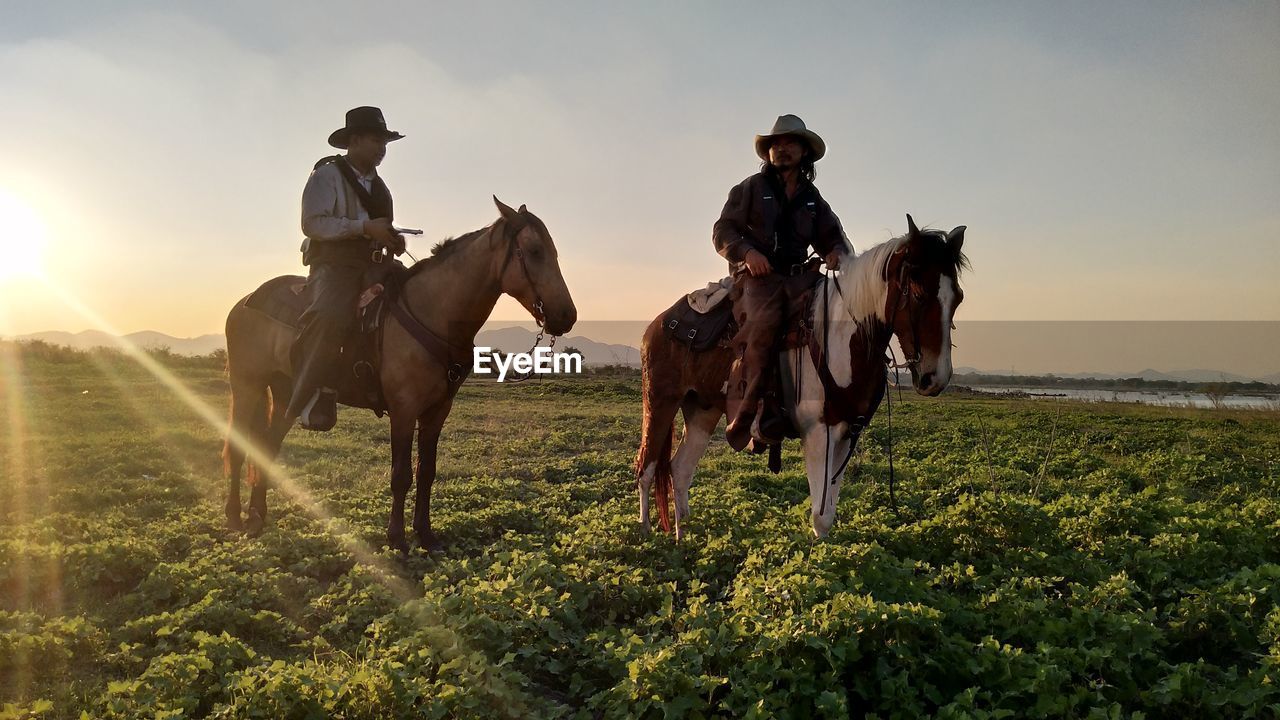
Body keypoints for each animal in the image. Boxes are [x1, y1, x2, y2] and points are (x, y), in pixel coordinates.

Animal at [224, 196, 576, 548]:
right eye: (534, 251)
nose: (566, 315)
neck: (432, 312)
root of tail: (244, 302)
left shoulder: (437, 411)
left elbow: (426, 471)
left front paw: (425, 533)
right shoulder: (404, 409)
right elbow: (401, 475)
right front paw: (396, 538)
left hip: (286, 391)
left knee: (267, 446)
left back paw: (257, 515)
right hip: (246, 385)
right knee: (238, 447)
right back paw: (234, 517)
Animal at [634, 213, 962, 538]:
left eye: (957, 297)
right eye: (918, 294)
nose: (935, 378)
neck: (842, 340)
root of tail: (659, 322)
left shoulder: (847, 433)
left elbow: (828, 512)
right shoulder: (818, 432)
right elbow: (820, 516)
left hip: (703, 410)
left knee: (680, 469)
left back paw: (683, 535)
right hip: (660, 402)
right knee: (647, 465)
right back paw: (647, 530)